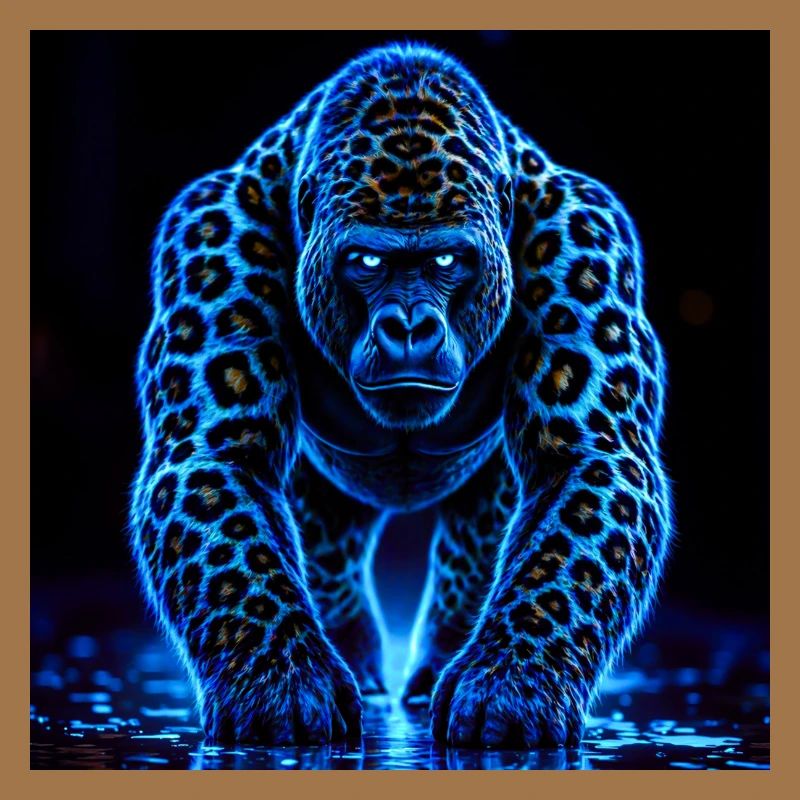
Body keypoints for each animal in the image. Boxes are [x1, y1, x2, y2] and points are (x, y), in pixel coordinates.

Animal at [129, 41, 672, 749]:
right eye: (367, 262)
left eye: (445, 261)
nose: (409, 326)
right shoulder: (211, 236)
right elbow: (225, 493)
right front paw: (281, 682)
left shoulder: (586, 240)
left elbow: (578, 487)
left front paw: (511, 683)